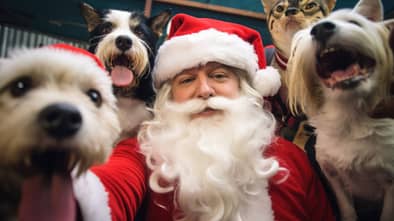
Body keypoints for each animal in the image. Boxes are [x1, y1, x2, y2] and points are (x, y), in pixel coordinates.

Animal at [286, 0, 394, 220]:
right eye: (309, 32)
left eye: (355, 23)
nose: (320, 29)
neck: (351, 116)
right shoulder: (333, 176)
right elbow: (347, 209)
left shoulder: (391, 183)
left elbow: (388, 213)